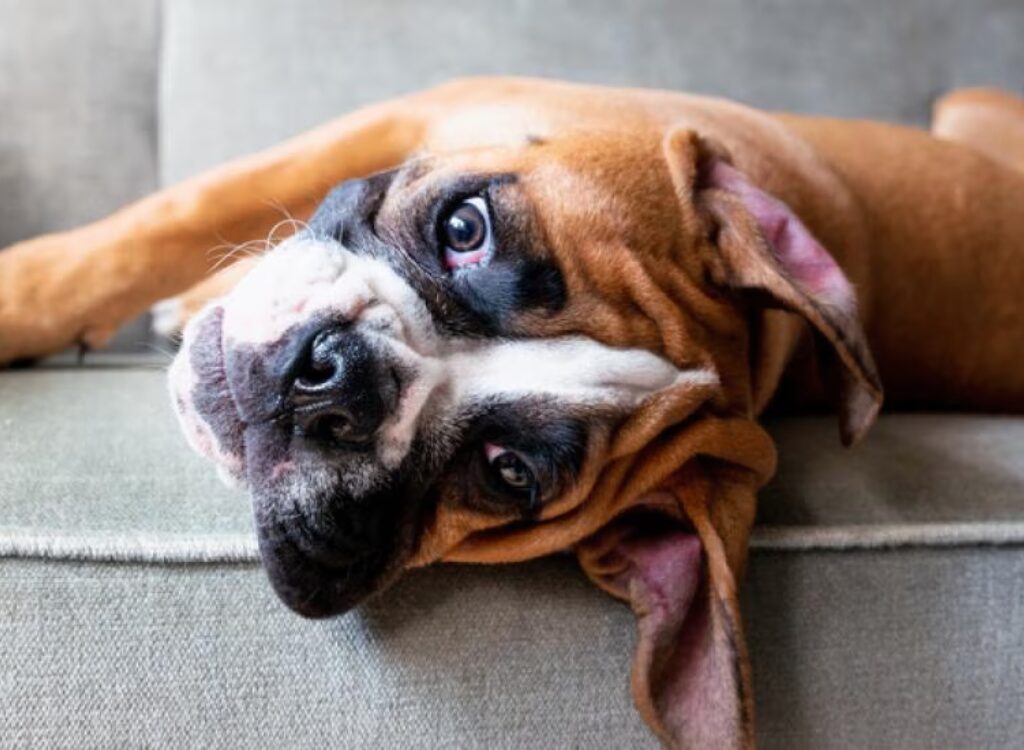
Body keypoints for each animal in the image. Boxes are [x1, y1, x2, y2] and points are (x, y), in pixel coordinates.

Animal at [2, 78, 1024, 745]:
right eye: (465, 228)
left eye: (507, 471)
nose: (341, 380)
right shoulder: (397, 115)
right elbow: (159, 223)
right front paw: (33, 294)